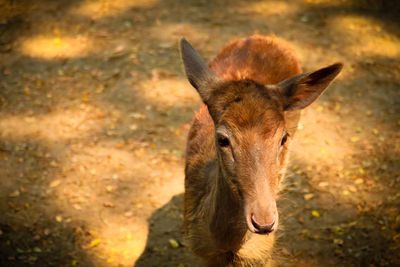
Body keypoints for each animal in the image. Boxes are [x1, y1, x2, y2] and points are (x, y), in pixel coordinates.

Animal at [180, 34, 342, 266]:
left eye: (283, 137)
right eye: (222, 139)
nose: (264, 222)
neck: (228, 248)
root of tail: (263, 37)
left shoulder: (263, 254)